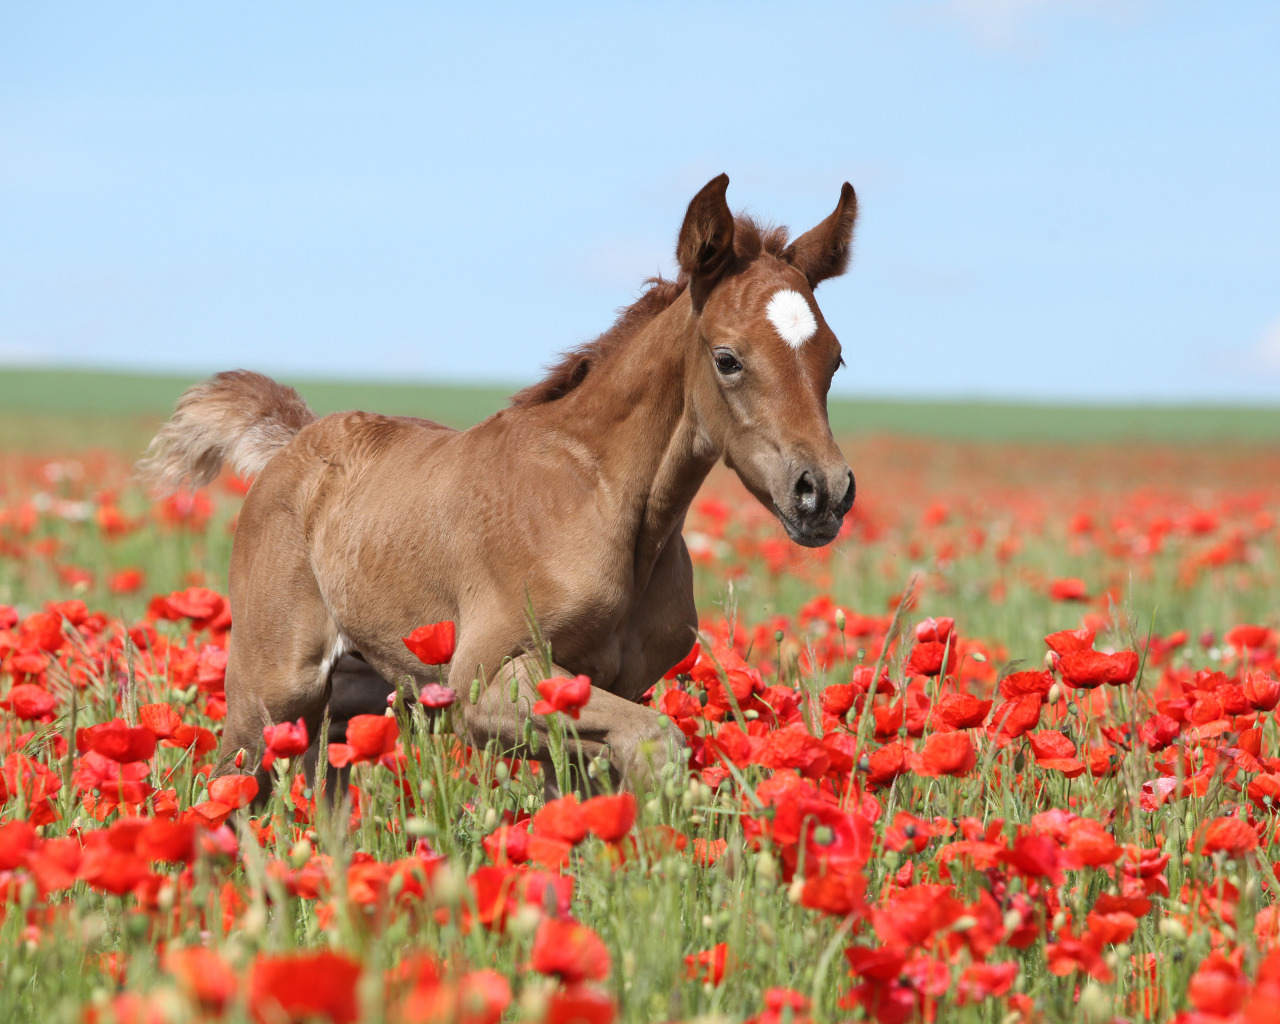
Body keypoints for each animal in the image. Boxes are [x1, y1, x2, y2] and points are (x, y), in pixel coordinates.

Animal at [140, 171, 860, 788]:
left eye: (835, 359)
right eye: (728, 358)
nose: (822, 492)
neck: (603, 502)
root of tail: (292, 444)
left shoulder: (602, 689)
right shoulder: (483, 683)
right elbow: (657, 741)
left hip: (356, 696)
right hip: (271, 695)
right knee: (228, 789)